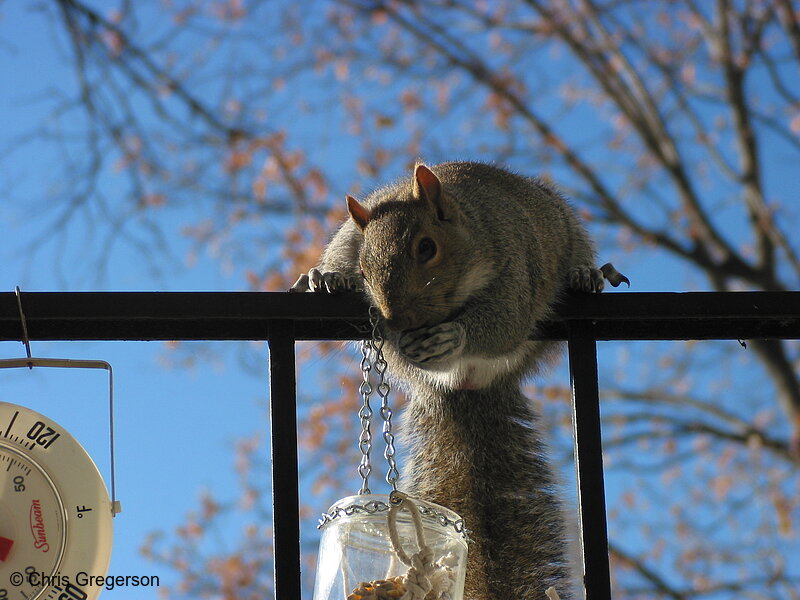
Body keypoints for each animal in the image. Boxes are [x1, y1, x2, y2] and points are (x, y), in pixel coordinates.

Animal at [290, 162, 628, 600]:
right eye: (364, 269)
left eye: (426, 248)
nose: (398, 321)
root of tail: (471, 385)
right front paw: (332, 278)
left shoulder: (515, 266)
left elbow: (505, 322)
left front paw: (453, 336)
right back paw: (323, 276)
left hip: (567, 233)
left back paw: (587, 273)